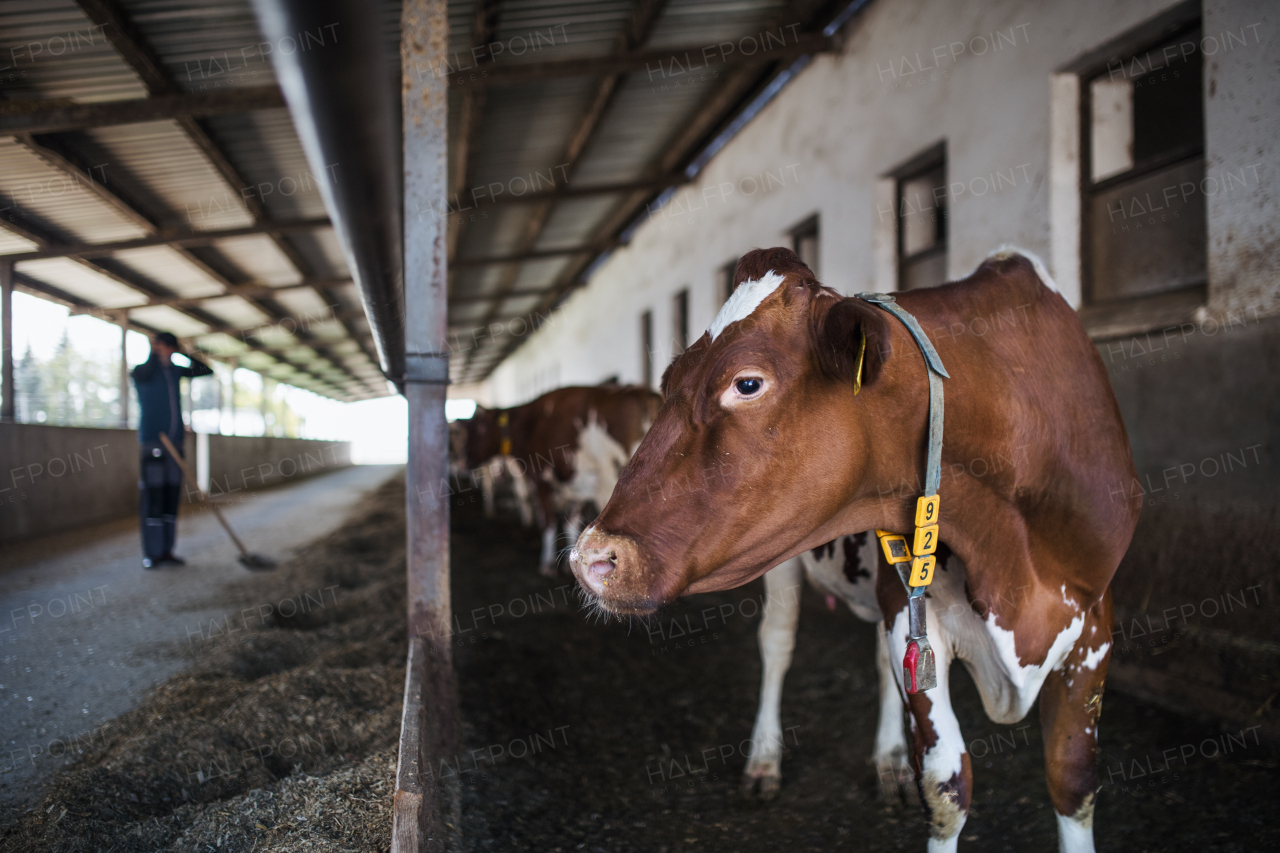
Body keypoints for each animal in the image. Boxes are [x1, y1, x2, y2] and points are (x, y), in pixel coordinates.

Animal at [460, 386, 660, 578]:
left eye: (480, 428)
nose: (465, 460)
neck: (530, 423)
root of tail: (640, 391)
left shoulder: (541, 480)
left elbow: (548, 522)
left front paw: (547, 565)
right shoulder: (577, 486)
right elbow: (570, 524)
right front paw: (568, 564)